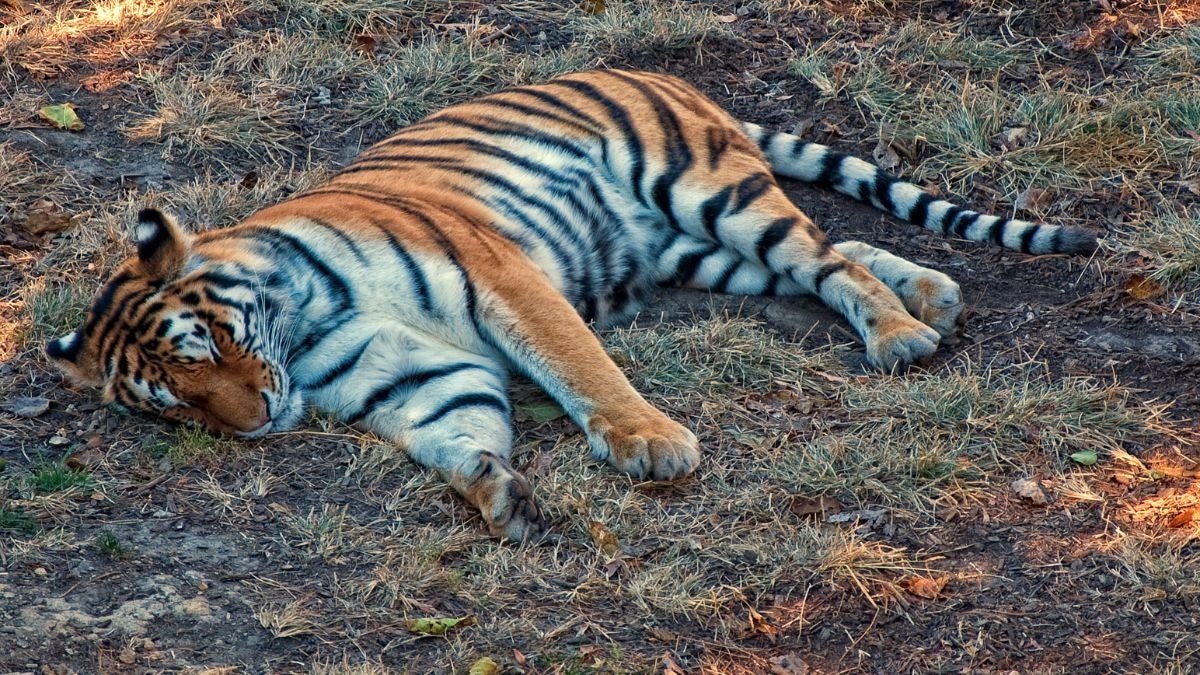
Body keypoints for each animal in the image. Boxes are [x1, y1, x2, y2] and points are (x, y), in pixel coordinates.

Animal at [46, 69, 1097, 540]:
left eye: (208, 342)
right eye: (175, 402)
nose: (258, 418)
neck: (301, 329)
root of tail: (661, 73)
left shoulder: (500, 275)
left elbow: (580, 363)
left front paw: (651, 443)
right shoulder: (412, 373)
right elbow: (455, 427)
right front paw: (494, 490)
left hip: (707, 192)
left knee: (825, 258)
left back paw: (903, 333)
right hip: (697, 252)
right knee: (835, 253)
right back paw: (932, 293)